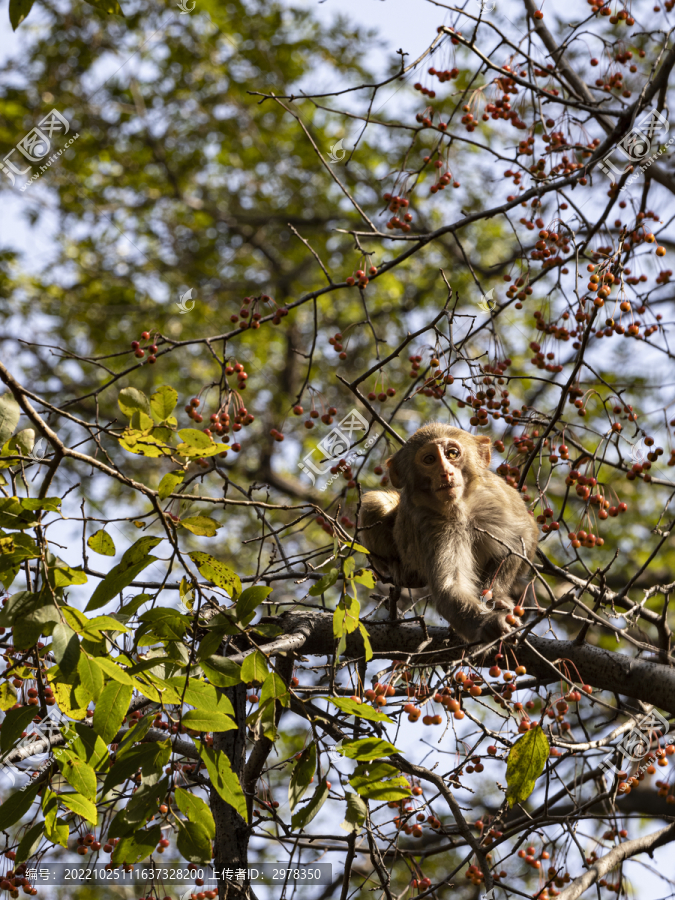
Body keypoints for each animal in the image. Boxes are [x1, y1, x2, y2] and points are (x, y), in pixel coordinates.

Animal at [360, 426, 540, 644]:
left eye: (452, 454)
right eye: (429, 459)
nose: (446, 473)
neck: (459, 508)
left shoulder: (496, 497)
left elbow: (519, 539)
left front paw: (497, 596)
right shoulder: (431, 524)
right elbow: (451, 585)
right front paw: (490, 623)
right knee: (375, 503)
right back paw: (401, 571)